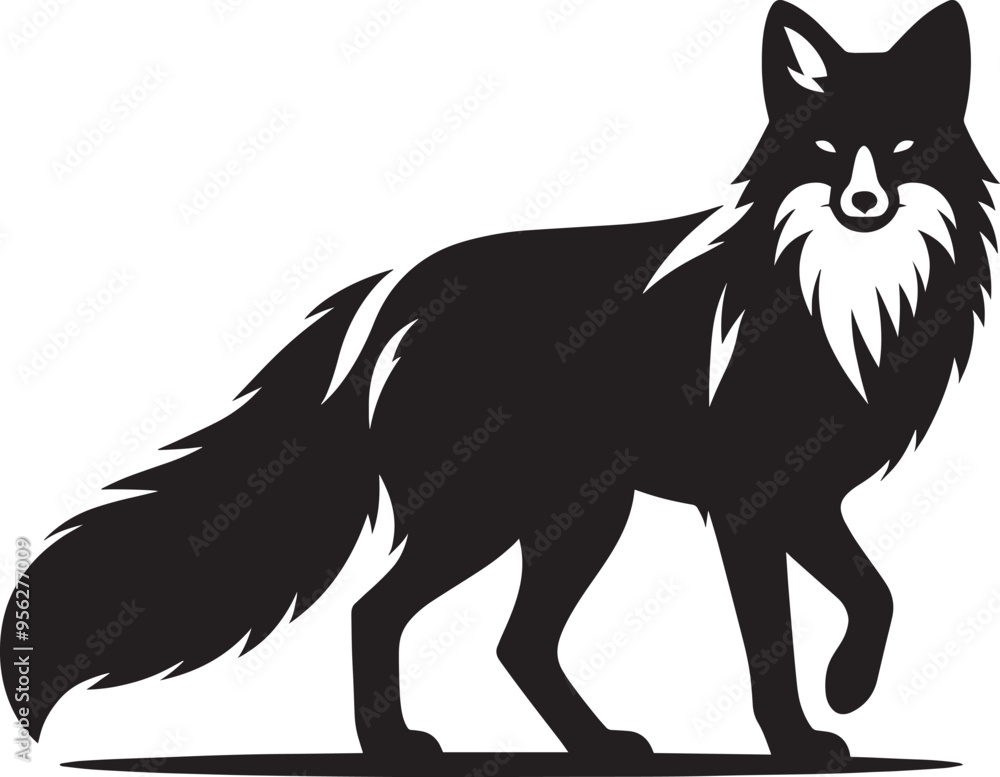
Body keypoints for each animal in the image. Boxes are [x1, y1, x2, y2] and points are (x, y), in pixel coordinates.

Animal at [3, 0, 996, 766]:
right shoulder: (750, 502)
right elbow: (774, 645)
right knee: (378, 610)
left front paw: (850, 688)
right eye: (826, 148)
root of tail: (397, 287)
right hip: (494, 516)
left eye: (902, 145)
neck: (846, 290)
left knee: (515, 643)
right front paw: (802, 735)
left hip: (575, 517)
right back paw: (398, 748)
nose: (862, 204)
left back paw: (595, 747)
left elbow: (876, 592)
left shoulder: (808, 496)